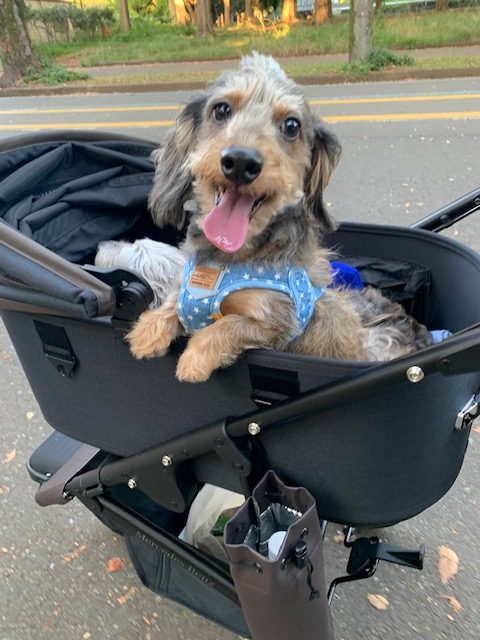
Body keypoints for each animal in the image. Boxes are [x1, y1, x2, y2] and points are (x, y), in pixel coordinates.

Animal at [125, 52, 434, 380]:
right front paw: (148, 330)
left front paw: (194, 358)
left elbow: (227, 325)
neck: (226, 259)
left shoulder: (277, 321)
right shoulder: (186, 293)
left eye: (291, 125)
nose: (241, 161)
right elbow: (173, 303)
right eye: (221, 109)